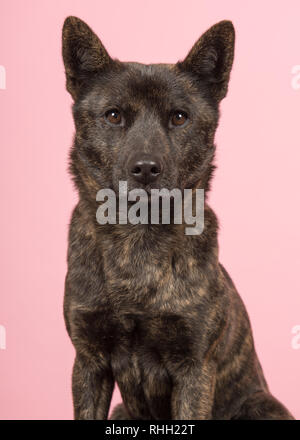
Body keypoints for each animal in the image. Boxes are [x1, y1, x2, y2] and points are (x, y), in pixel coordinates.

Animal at [62, 14, 294, 420]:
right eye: (113, 115)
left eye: (179, 117)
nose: (145, 169)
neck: (137, 240)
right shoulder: (88, 362)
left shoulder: (194, 369)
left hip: (261, 406)